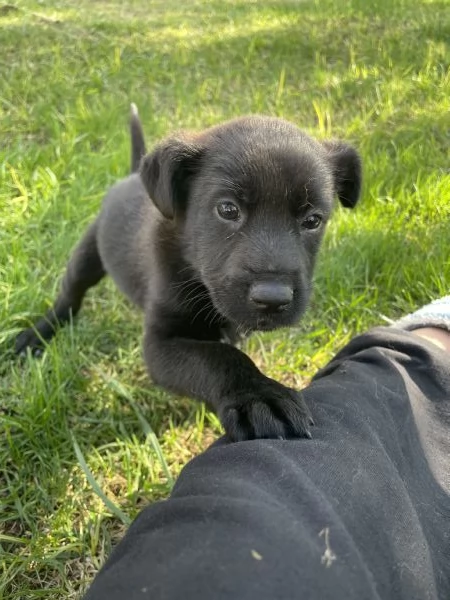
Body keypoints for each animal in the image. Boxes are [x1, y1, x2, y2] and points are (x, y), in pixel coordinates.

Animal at [16, 105, 362, 438]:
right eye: (227, 209)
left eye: (313, 220)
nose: (273, 299)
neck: (195, 273)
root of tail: (132, 175)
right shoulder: (160, 343)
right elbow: (217, 358)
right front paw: (258, 394)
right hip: (87, 253)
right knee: (70, 294)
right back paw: (39, 333)